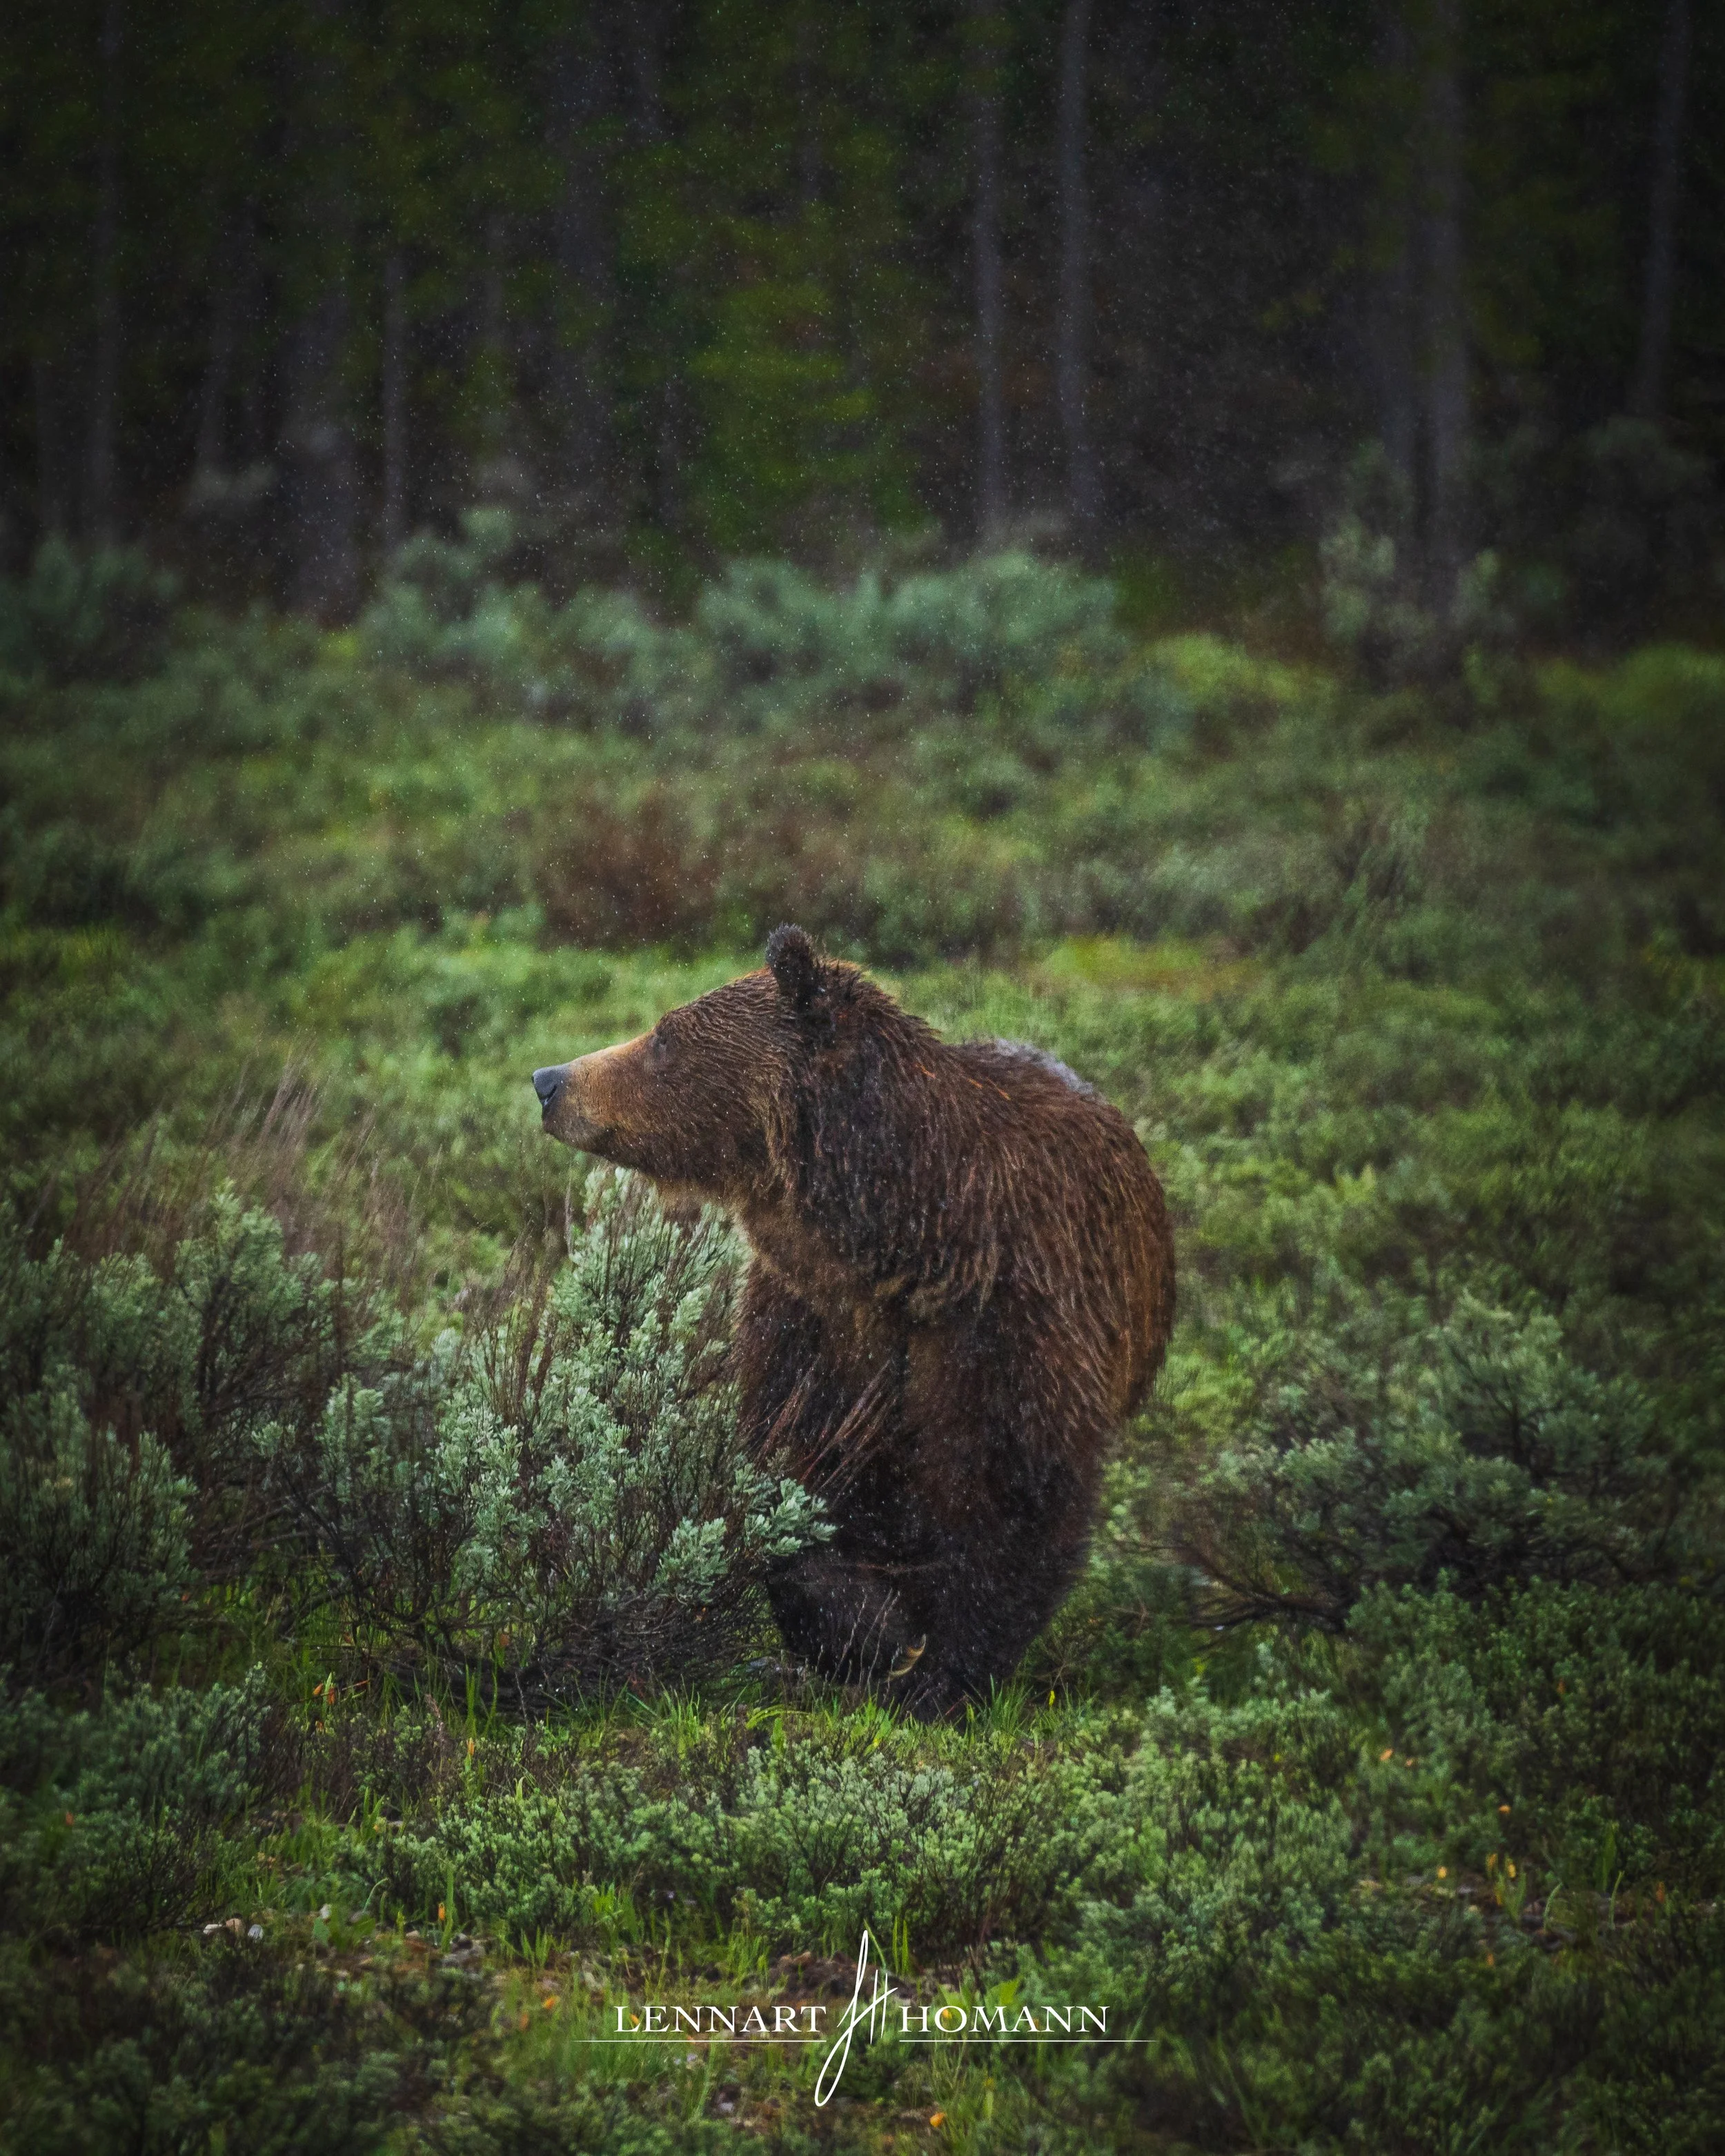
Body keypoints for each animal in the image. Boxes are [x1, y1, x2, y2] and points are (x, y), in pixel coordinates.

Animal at [531, 925, 1175, 1715]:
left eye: (663, 1036)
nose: (549, 1079)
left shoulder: (1010, 1319)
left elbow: (1013, 1492)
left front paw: (938, 1673)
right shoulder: (812, 1322)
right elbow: (800, 1474)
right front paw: (869, 1630)